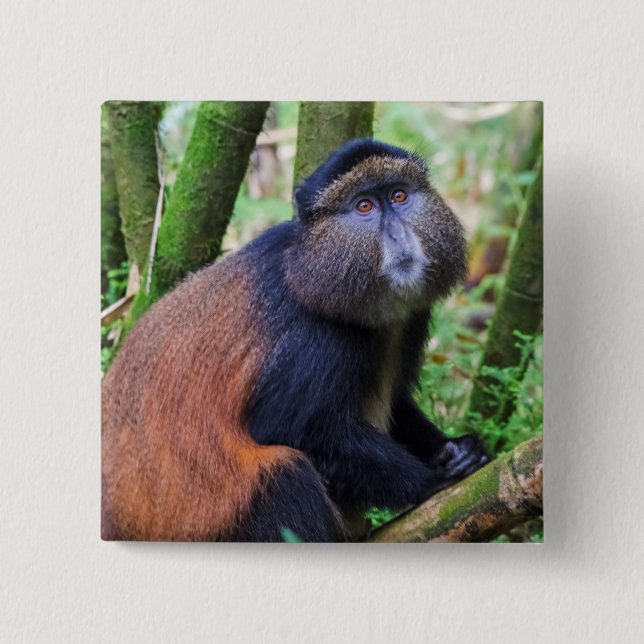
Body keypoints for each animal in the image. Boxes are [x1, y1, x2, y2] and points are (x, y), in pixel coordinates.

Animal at [101, 138, 489, 542]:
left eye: (399, 195)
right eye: (364, 206)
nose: (398, 235)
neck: (308, 268)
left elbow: (397, 403)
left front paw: (457, 449)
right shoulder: (313, 340)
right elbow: (288, 430)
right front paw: (434, 479)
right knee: (286, 475)